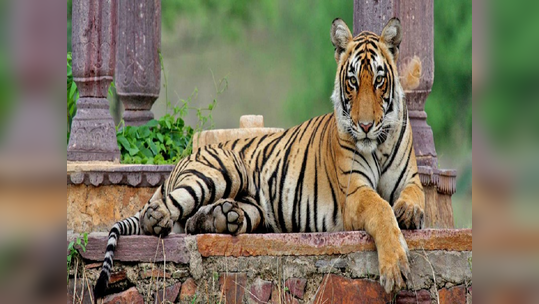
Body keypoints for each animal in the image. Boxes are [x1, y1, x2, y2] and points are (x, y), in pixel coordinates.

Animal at [94, 17, 426, 300]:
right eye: (353, 82)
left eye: (379, 81)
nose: (366, 126)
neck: (379, 145)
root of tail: (186, 157)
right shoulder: (354, 192)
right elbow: (381, 210)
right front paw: (396, 268)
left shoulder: (410, 180)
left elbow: (413, 197)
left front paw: (409, 212)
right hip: (221, 173)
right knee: (161, 211)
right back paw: (161, 218)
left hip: (253, 207)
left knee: (193, 221)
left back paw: (222, 217)